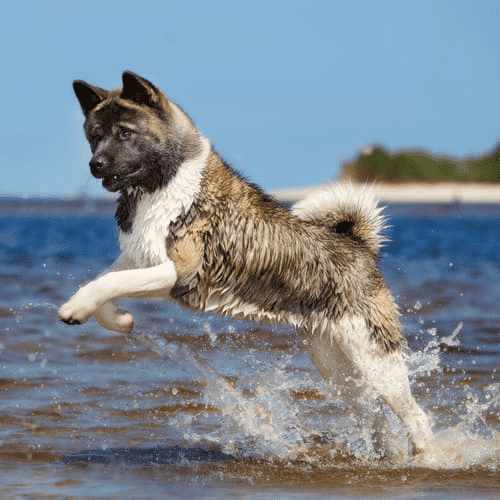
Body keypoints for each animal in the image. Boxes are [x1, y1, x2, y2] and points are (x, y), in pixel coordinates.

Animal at [58, 70, 434, 458]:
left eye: (125, 133)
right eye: (94, 135)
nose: (95, 165)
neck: (165, 185)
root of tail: (360, 245)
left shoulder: (183, 272)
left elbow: (109, 283)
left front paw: (75, 309)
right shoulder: (138, 256)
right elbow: (103, 280)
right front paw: (118, 319)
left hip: (375, 359)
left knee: (416, 418)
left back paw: (428, 459)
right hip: (334, 361)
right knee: (374, 416)